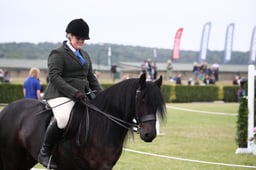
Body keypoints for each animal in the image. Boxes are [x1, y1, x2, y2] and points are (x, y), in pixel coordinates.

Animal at [0, 73, 166, 170]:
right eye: (142, 99)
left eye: (157, 104)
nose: (149, 134)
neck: (103, 125)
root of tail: (7, 109)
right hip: (11, 160)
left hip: (26, 159)